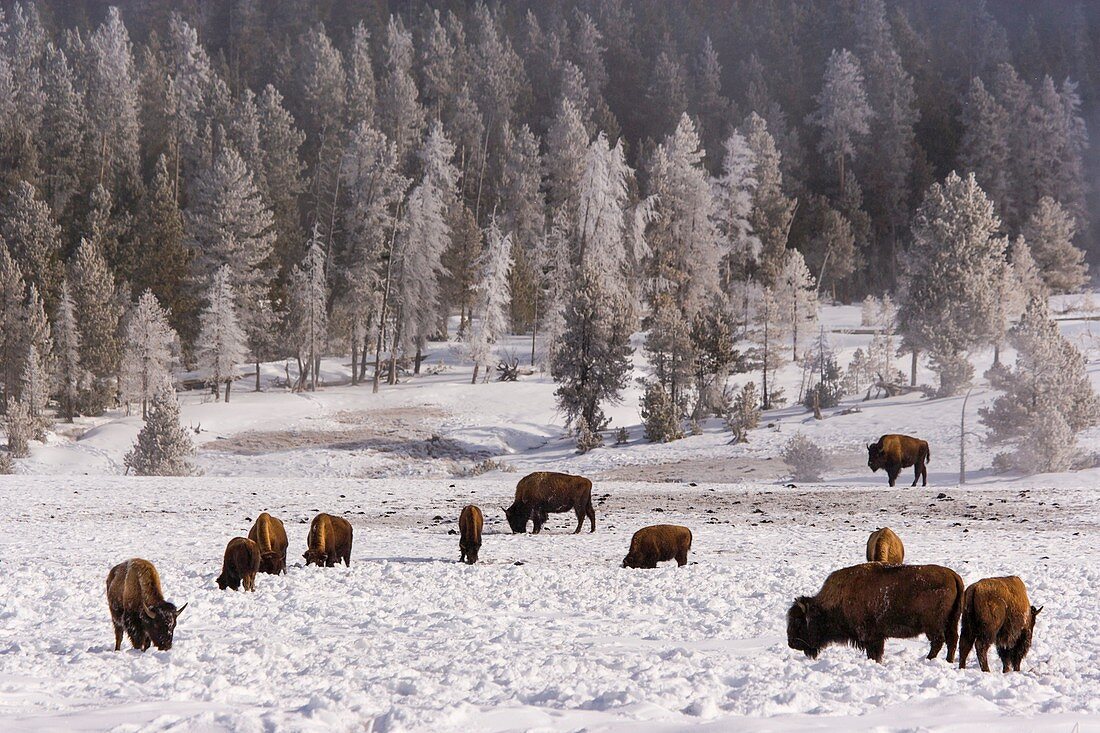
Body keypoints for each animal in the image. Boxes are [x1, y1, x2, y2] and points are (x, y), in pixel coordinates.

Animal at [783, 559, 963, 660]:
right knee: (952, 640)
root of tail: (953, 576)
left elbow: (874, 653)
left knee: (938, 641)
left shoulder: (871, 637)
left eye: (798, 621)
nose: (791, 643)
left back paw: (927, 659)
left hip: (933, 625)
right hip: (951, 621)